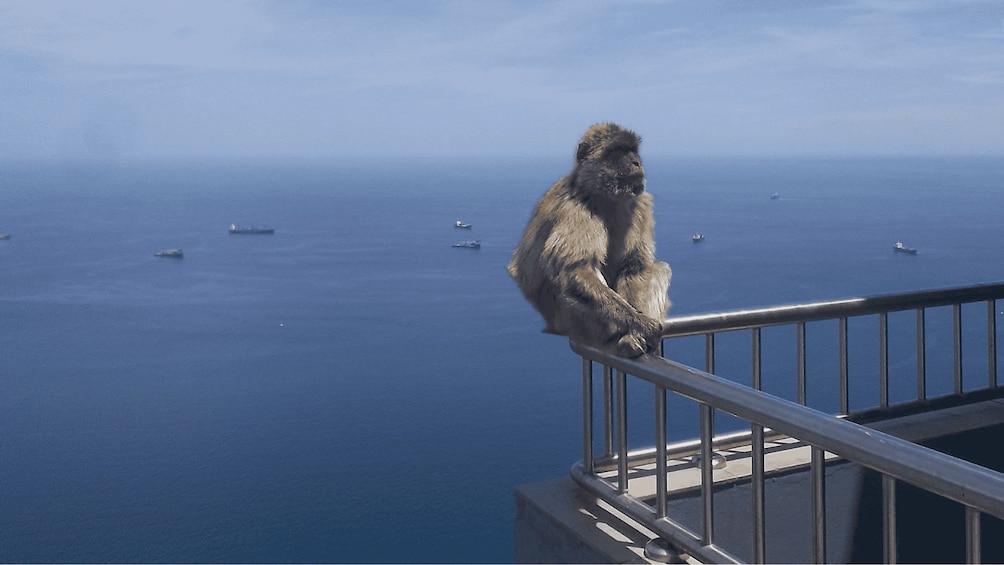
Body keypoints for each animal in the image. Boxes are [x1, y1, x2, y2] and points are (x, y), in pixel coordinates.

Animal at [508, 123, 671, 357]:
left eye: (633, 151)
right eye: (619, 151)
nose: (636, 162)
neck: (607, 196)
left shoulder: (640, 204)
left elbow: (633, 268)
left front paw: (637, 330)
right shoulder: (576, 209)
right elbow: (576, 270)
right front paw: (643, 326)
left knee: (658, 269)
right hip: (573, 320)